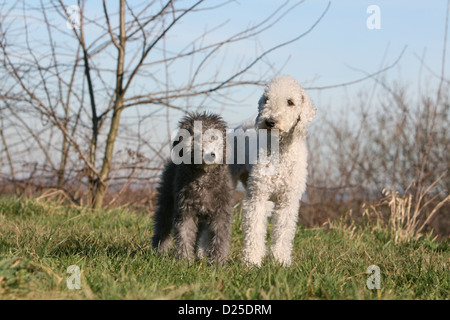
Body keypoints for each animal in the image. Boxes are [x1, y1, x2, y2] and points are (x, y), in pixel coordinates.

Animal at [152, 111, 234, 264]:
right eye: (195, 137)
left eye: (214, 137)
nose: (209, 154)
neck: (203, 178)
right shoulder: (185, 212)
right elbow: (184, 236)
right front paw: (184, 261)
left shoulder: (221, 213)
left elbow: (220, 239)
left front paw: (217, 263)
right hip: (167, 204)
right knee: (162, 227)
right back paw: (158, 252)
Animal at [234, 75, 314, 268]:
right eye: (266, 99)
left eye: (291, 102)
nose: (269, 122)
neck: (281, 151)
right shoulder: (258, 198)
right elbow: (254, 231)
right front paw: (251, 263)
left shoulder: (287, 201)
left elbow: (283, 233)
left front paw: (280, 262)